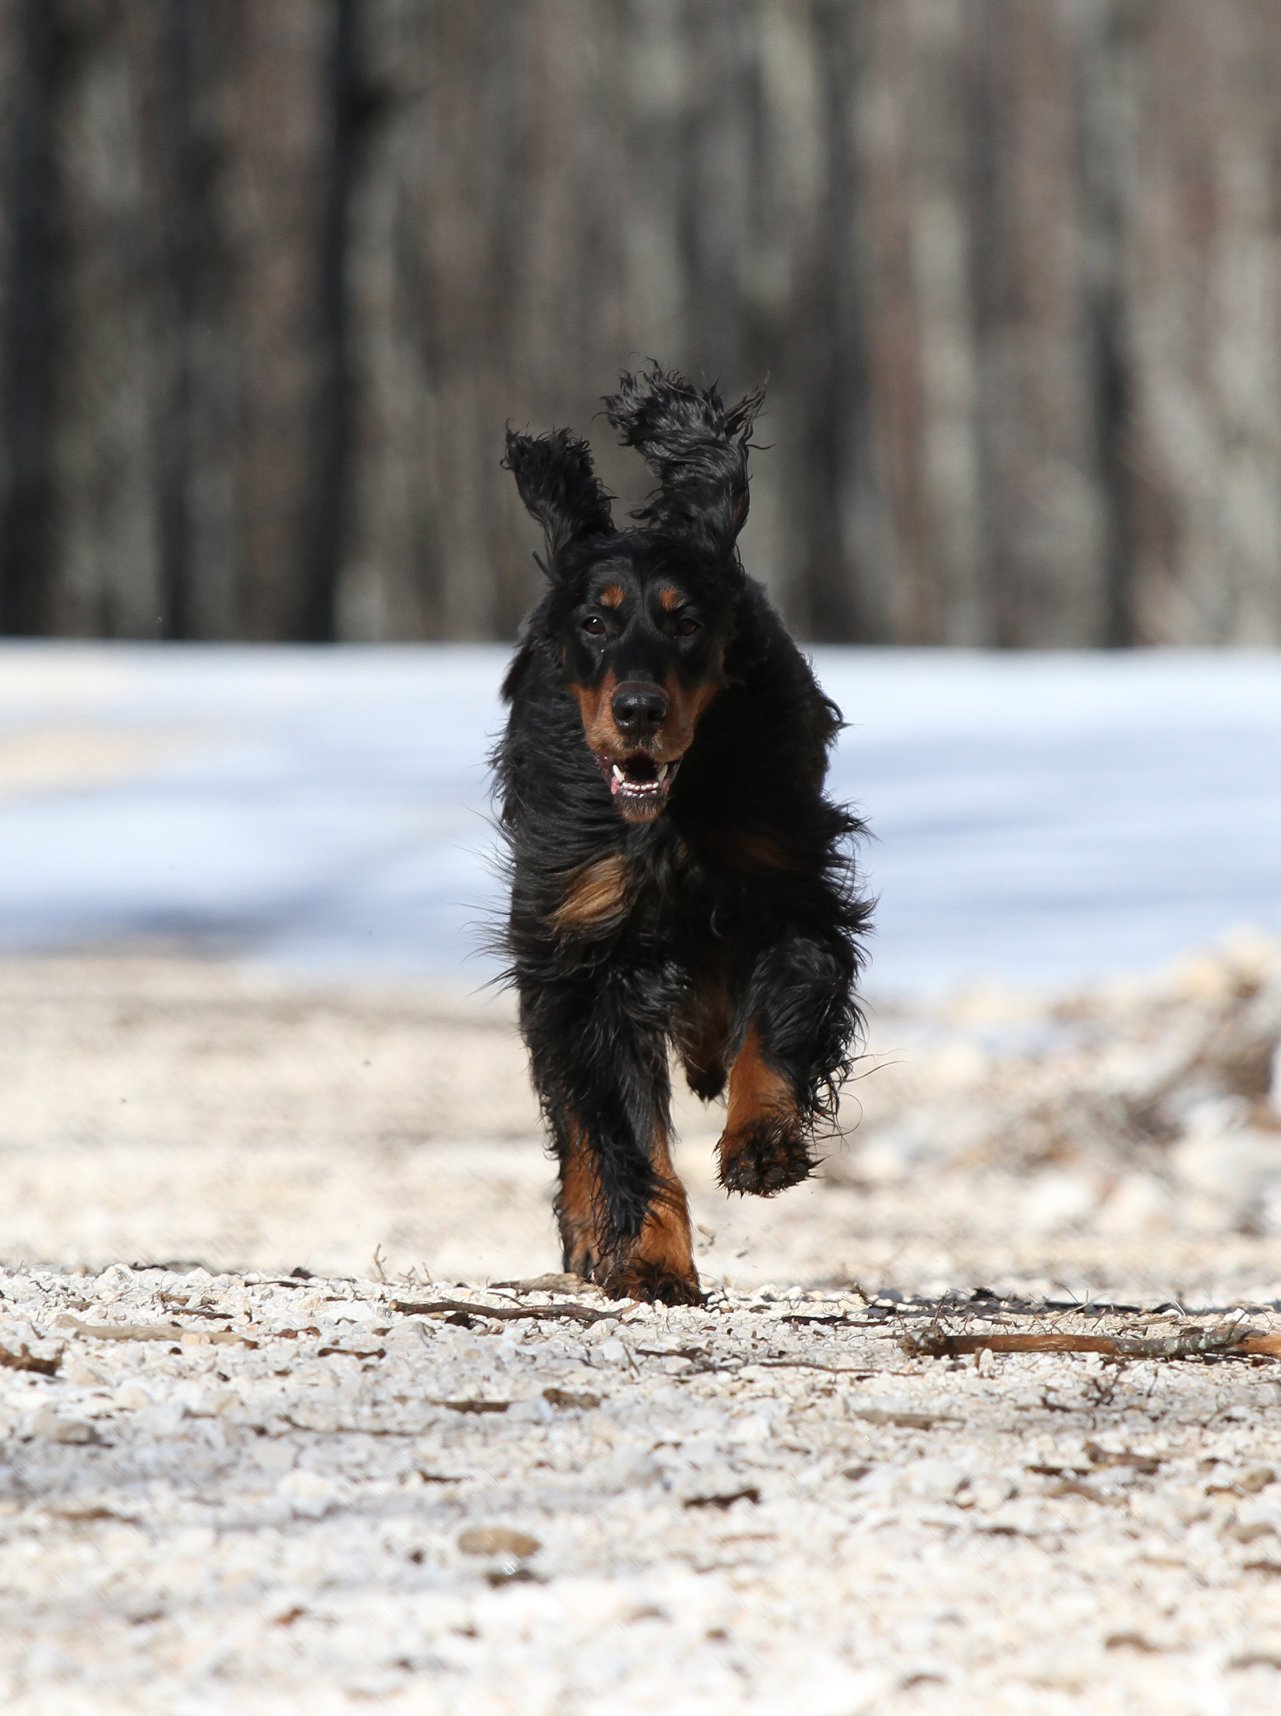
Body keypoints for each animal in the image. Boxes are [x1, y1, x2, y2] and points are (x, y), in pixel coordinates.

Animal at [497, 362, 867, 1297]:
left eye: (687, 621)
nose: (637, 710)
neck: (665, 815)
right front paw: (645, 1257)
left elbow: (781, 1013)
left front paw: (762, 1140)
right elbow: (617, 1129)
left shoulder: (789, 888)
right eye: (595, 622)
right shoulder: (582, 949)